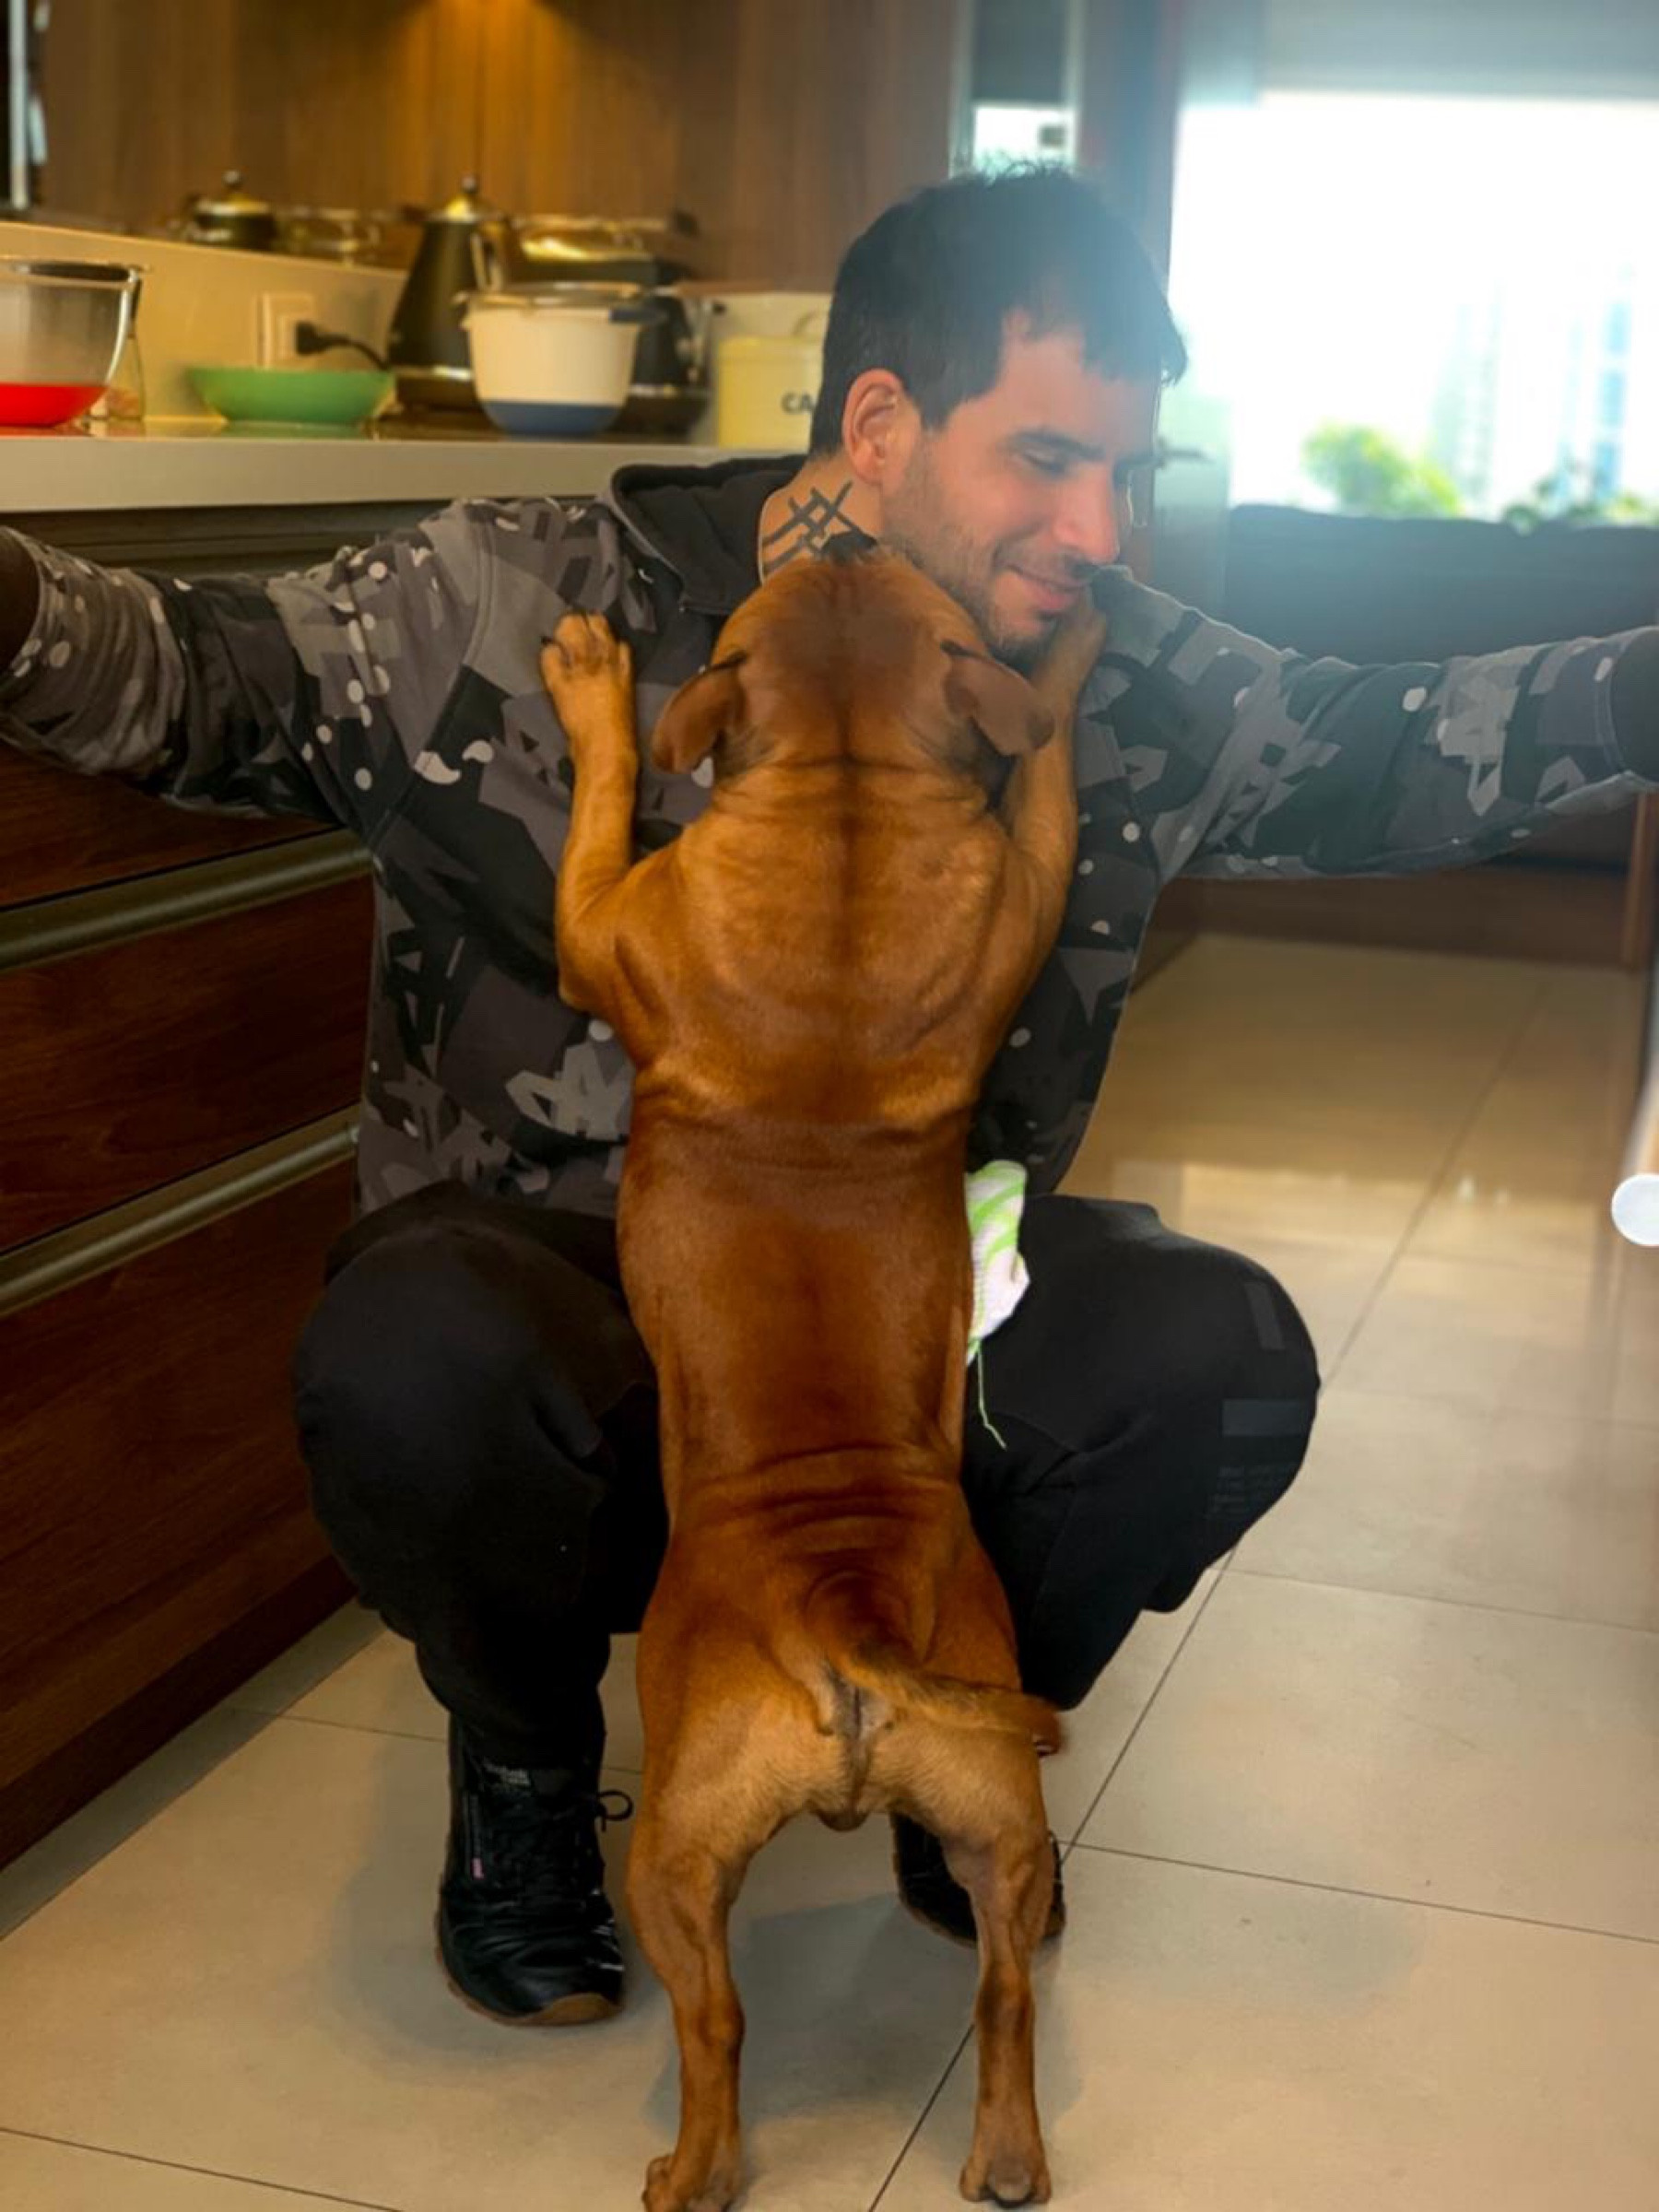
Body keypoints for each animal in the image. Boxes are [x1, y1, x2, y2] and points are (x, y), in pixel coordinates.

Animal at [541, 544, 1105, 2212]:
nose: (841, 537)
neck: (847, 791)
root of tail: (842, 1612)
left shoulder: (595, 916)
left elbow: (603, 795)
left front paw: (592, 686)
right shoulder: (1024, 885)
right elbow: (1049, 766)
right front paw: (1072, 652)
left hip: (672, 1854)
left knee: (718, 2024)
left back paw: (690, 2170)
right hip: (1002, 1823)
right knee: (1004, 1992)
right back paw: (1005, 2156)